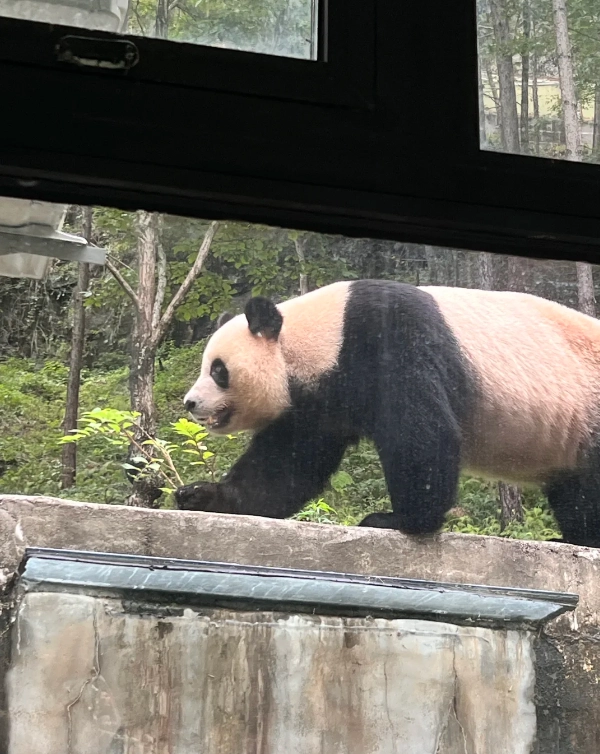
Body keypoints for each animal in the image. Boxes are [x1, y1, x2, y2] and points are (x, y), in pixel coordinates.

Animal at [175, 279, 600, 548]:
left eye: (218, 370)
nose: (190, 403)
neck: (324, 334)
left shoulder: (391, 336)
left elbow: (421, 433)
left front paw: (398, 520)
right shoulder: (318, 402)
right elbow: (285, 464)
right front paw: (202, 495)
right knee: (572, 489)